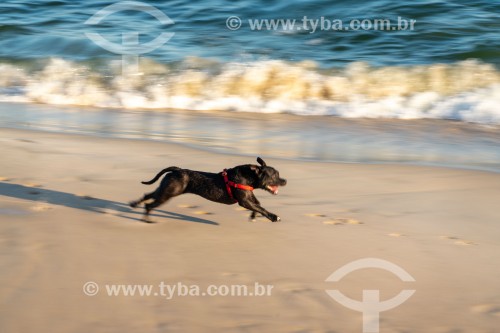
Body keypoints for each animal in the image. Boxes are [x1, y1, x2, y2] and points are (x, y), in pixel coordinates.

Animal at [129, 157, 286, 222]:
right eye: (274, 175)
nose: (285, 180)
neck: (250, 177)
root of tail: (177, 170)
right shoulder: (244, 201)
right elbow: (261, 208)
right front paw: (273, 217)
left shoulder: (249, 198)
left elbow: (258, 205)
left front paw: (253, 216)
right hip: (168, 193)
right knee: (150, 205)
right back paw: (147, 220)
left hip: (165, 189)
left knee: (148, 195)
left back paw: (134, 204)